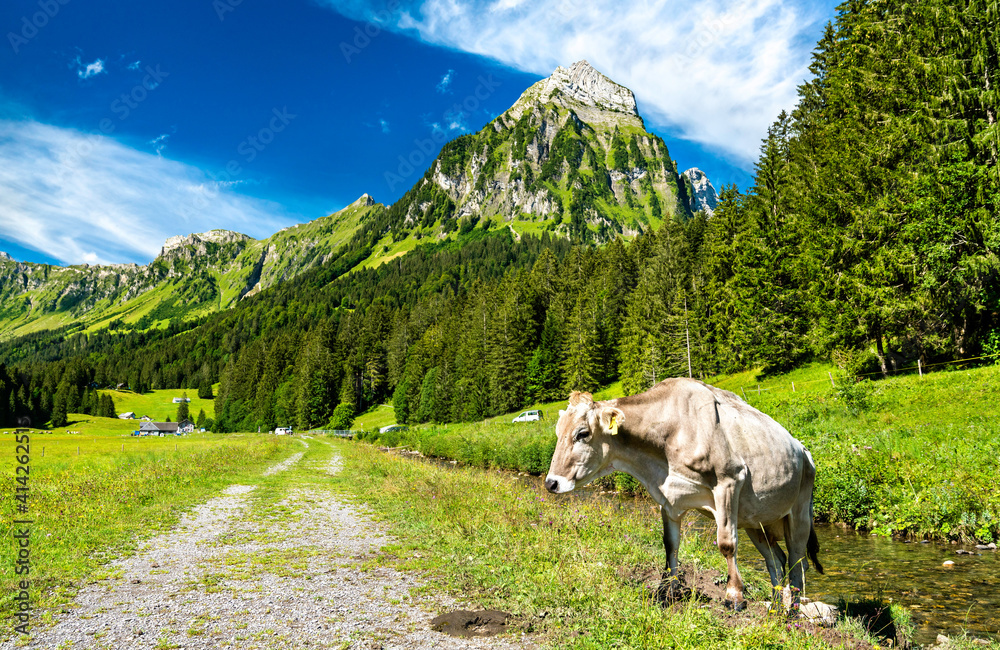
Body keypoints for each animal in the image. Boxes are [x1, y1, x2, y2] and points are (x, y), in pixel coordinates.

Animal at [548, 378, 820, 612]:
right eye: (557, 432)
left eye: (582, 433)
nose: (551, 482)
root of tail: (802, 447)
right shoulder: (669, 499)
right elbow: (670, 544)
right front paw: (665, 590)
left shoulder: (729, 481)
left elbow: (727, 544)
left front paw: (734, 596)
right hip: (755, 520)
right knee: (777, 558)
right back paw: (775, 608)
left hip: (799, 510)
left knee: (797, 559)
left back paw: (793, 611)